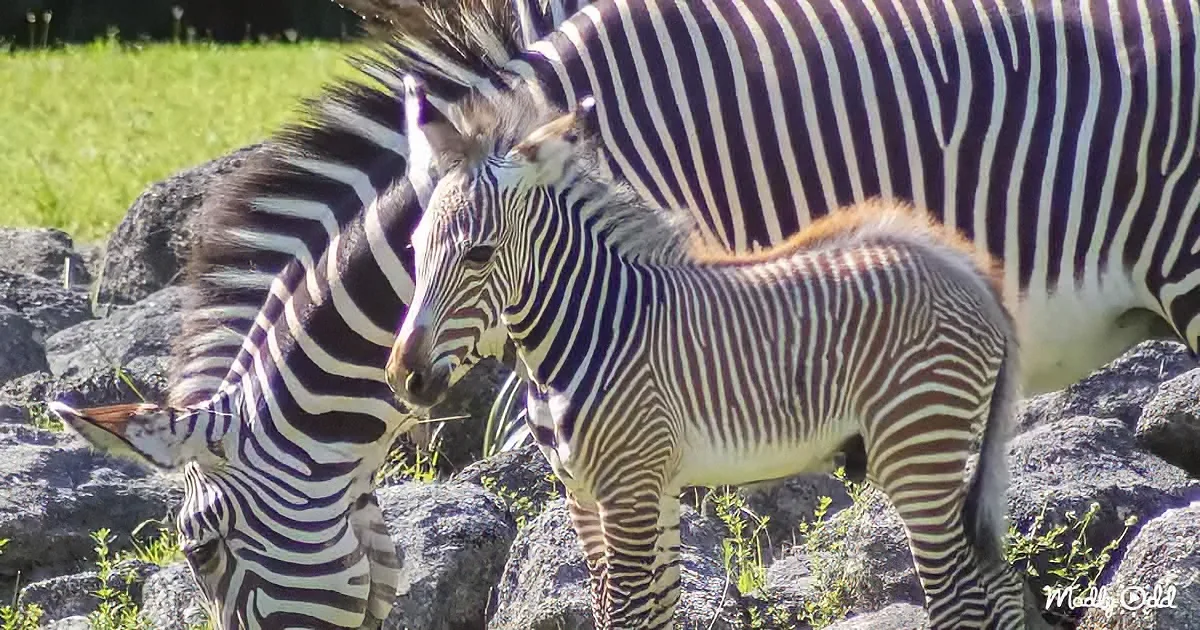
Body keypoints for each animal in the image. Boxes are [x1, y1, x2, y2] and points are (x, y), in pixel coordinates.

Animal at [385, 84, 1047, 629]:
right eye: (414, 248)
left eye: (478, 254)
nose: (404, 377)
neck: (592, 326)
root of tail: (966, 269)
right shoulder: (604, 496)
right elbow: (644, 613)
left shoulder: (628, 488)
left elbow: (625, 616)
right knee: (1000, 587)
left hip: (919, 450)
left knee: (960, 601)